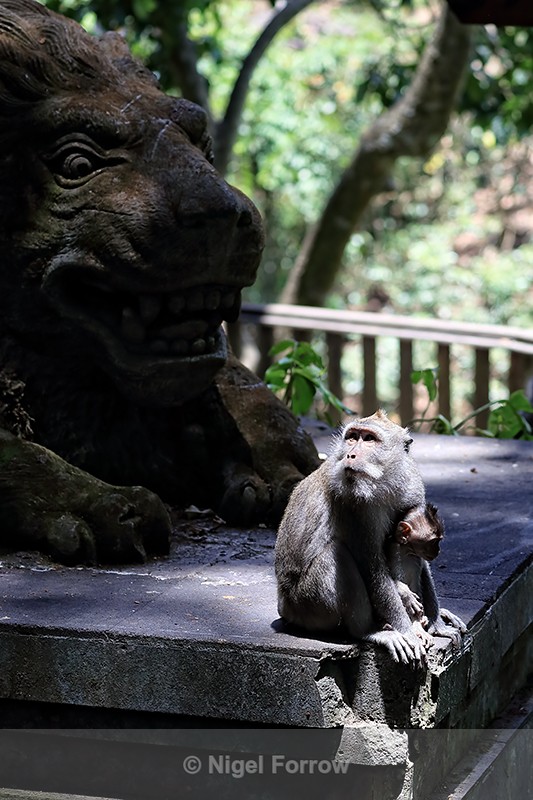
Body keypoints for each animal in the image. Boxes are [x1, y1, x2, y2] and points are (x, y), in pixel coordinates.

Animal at [275, 410, 429, 665]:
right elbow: (373, 570)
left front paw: (428, 623)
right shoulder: (352, 503)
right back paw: (369, 631)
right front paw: (407, 629)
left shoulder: (413, 486)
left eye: (369, 439)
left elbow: (411, 549)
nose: (350, 454)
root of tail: (282, 605)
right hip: (306, 605)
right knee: (336, 554)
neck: (383, 481)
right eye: (352, 437)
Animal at [385, 503, 467, 647]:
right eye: (433, 542)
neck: (407, 551)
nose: (438, 550)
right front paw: (406, 594)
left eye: (438, 541)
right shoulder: (392, 551)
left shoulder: (416, 559)